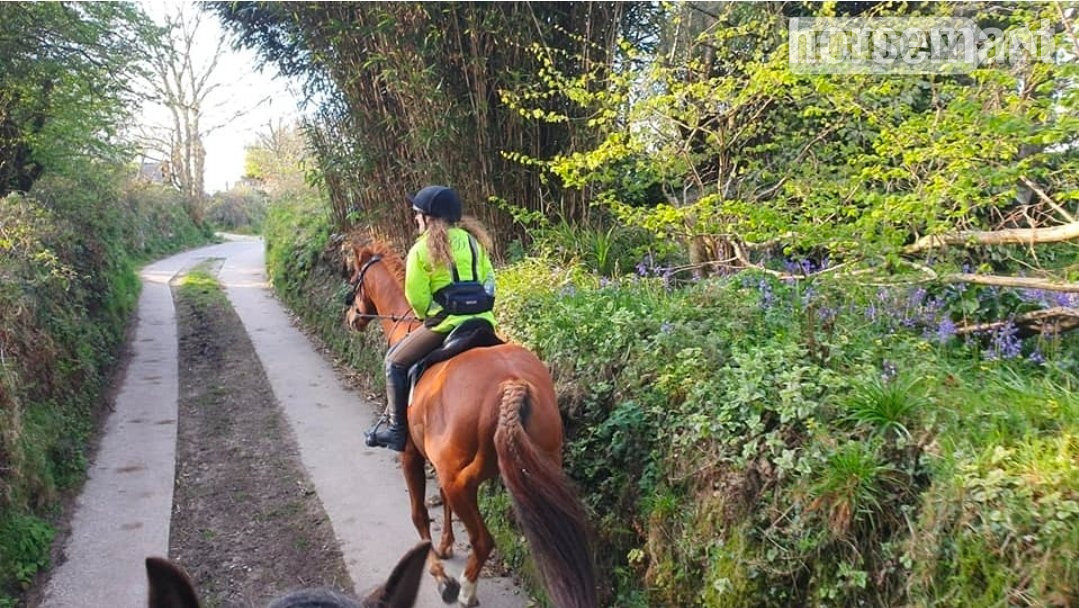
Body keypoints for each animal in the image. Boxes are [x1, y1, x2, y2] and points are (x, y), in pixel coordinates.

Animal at [343, 240, 596, 608]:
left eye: (355, 278)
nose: (351, 317)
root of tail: (512, 384)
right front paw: (447, 545)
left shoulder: (410, 454)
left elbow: (419, 514)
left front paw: (439, 575)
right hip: (537, 465)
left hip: (461, 482)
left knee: (483, 539)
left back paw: (464, 590)